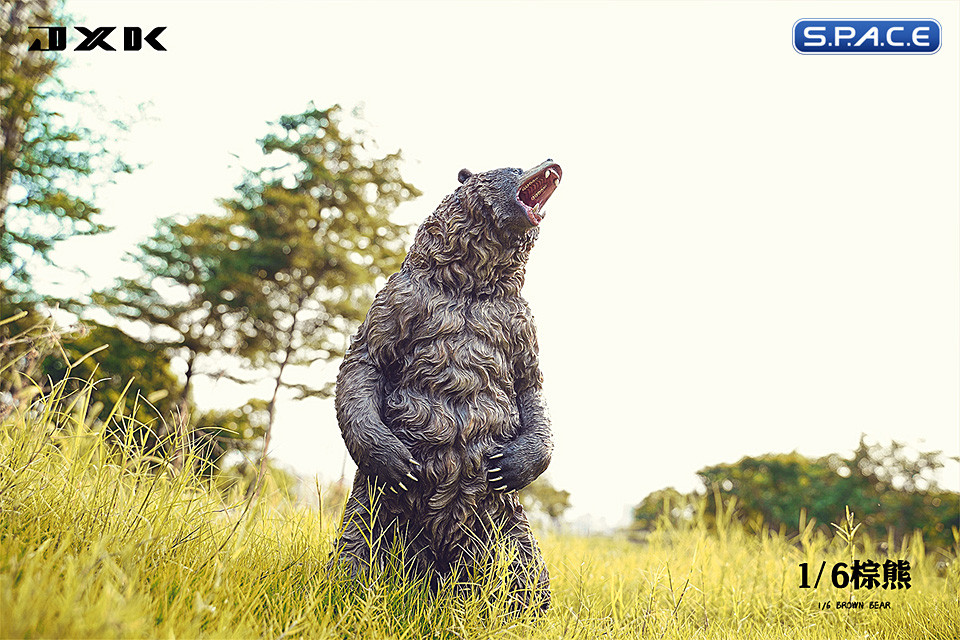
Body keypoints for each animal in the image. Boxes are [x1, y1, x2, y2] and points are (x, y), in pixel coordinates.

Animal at [331, 159, 562, 612]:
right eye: (515, 166)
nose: (552, 162)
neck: (470, 287)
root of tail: (434, 574)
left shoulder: (519, 322)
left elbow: (531, 387)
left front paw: (513, 463)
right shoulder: (400, 299)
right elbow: (364, 363)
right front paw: (397, 459)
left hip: (503, 522)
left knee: (524, 572)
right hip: (375, 506)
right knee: (358, 550)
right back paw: (350, 595)